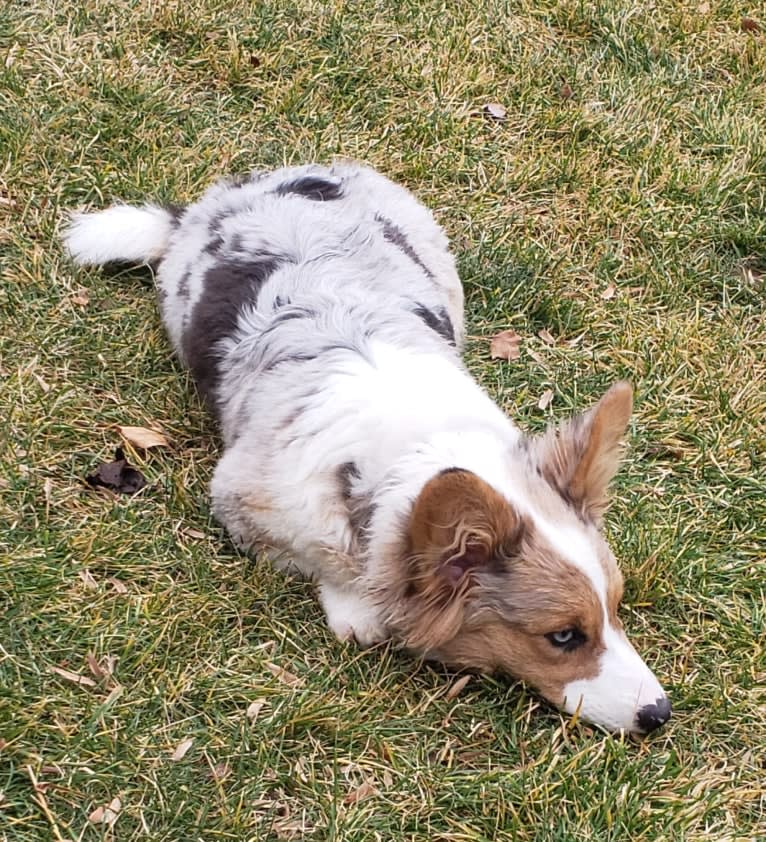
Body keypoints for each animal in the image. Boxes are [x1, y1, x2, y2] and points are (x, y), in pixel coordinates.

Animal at [64, 161, 672, 732]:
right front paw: (357, 611)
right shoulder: (241, 501)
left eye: (615, 607)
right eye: (564, 637)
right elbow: (327, 567)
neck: (414, 447)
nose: (659, 713)